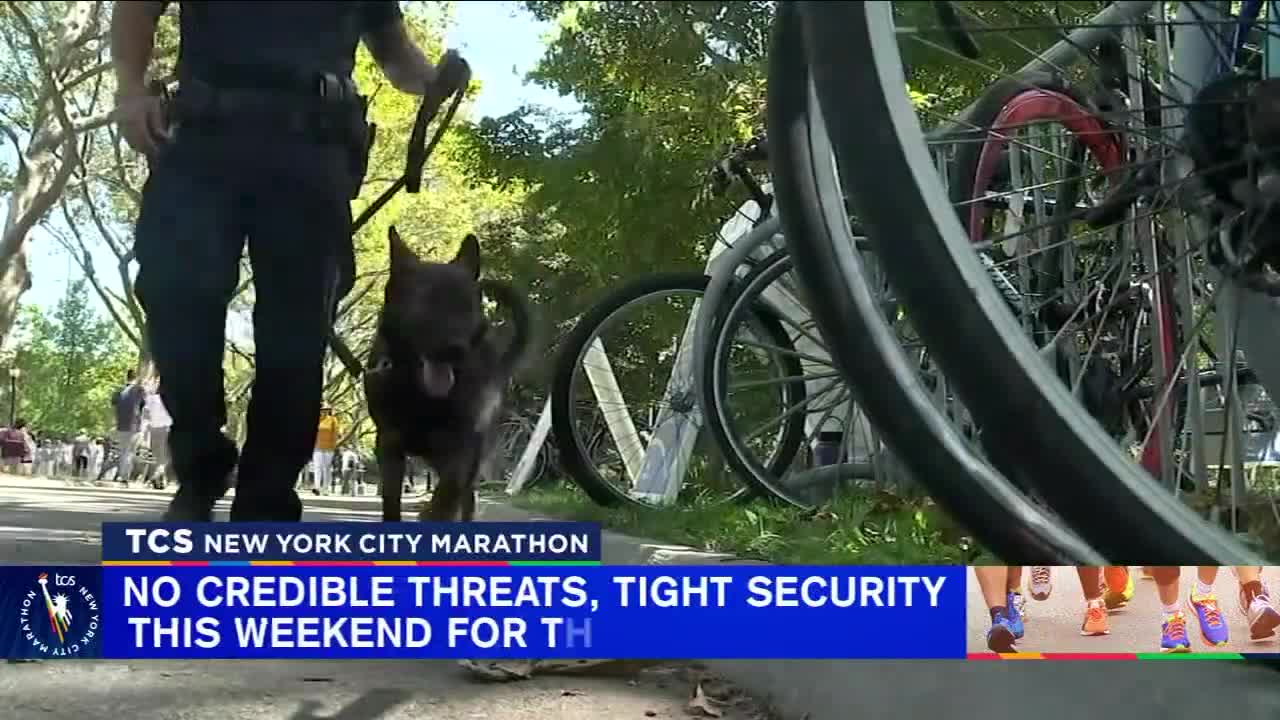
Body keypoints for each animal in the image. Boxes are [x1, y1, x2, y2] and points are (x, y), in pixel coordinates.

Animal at [366, 226, 535, 517]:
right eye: (427, 304)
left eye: (465, 306)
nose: (456, 349)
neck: (421, 395)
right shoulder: (389, 444)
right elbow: (391, 502)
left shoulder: (462, 446)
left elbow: (449, 491)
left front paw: (432, 514)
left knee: (465, 497)